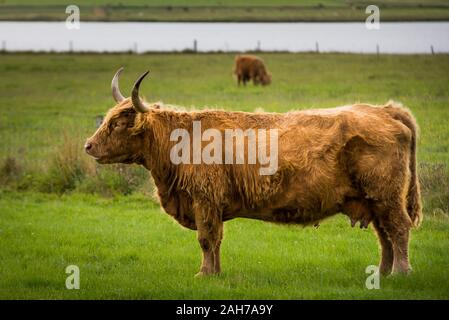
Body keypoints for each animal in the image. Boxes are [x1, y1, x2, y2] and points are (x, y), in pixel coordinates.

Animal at [85, 68, 420, 278]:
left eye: (118, 123)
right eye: (108, 119)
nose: (89, 145)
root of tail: (385, 109)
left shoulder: (204, 201)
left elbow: (206, 239)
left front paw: (203, 274)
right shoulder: (213, 207)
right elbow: (216, 240)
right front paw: (216, 273)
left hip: (387, 196)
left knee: (398, 229)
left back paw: (401, 272)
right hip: (374, 201)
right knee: (384, 235)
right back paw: (383, 272)